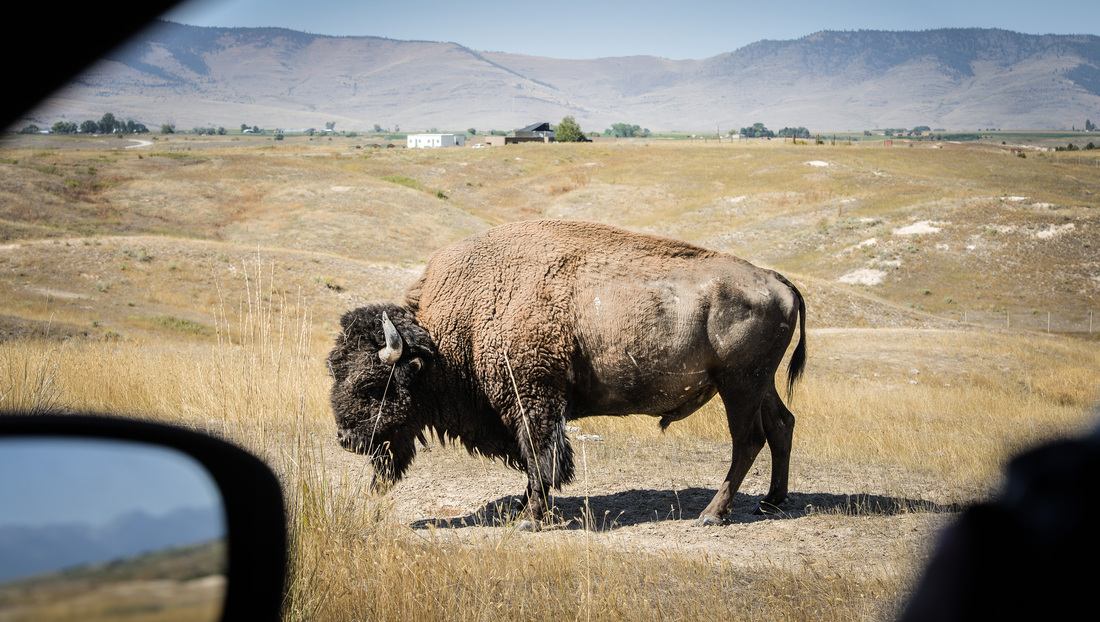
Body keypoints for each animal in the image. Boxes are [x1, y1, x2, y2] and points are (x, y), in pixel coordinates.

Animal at [328, 220, 806, 527]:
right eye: (335, 371)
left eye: (373, 384)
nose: (347, 439)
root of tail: (776, 280)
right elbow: (533, 461)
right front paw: (523, 509)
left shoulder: (533, 399)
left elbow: (540, 457)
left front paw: (530, 519)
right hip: (758, 385)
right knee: (782, 425)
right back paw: (770, 502)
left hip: (739, 385)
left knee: (748, 440)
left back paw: (711, 515)